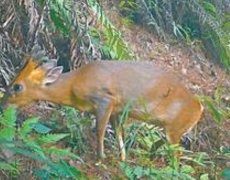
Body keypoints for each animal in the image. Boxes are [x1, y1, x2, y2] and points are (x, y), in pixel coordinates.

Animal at [0, 57, 204, 161]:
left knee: (177, 158)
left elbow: (99, 131)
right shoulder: (117, 110)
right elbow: (119, 134)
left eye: (17, 87)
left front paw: (100, 158)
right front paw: (122, 159)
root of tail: (200, 108)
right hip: (172, 130)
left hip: (175, 129)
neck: (74, 84)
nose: (3, 105)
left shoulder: (105, 99)